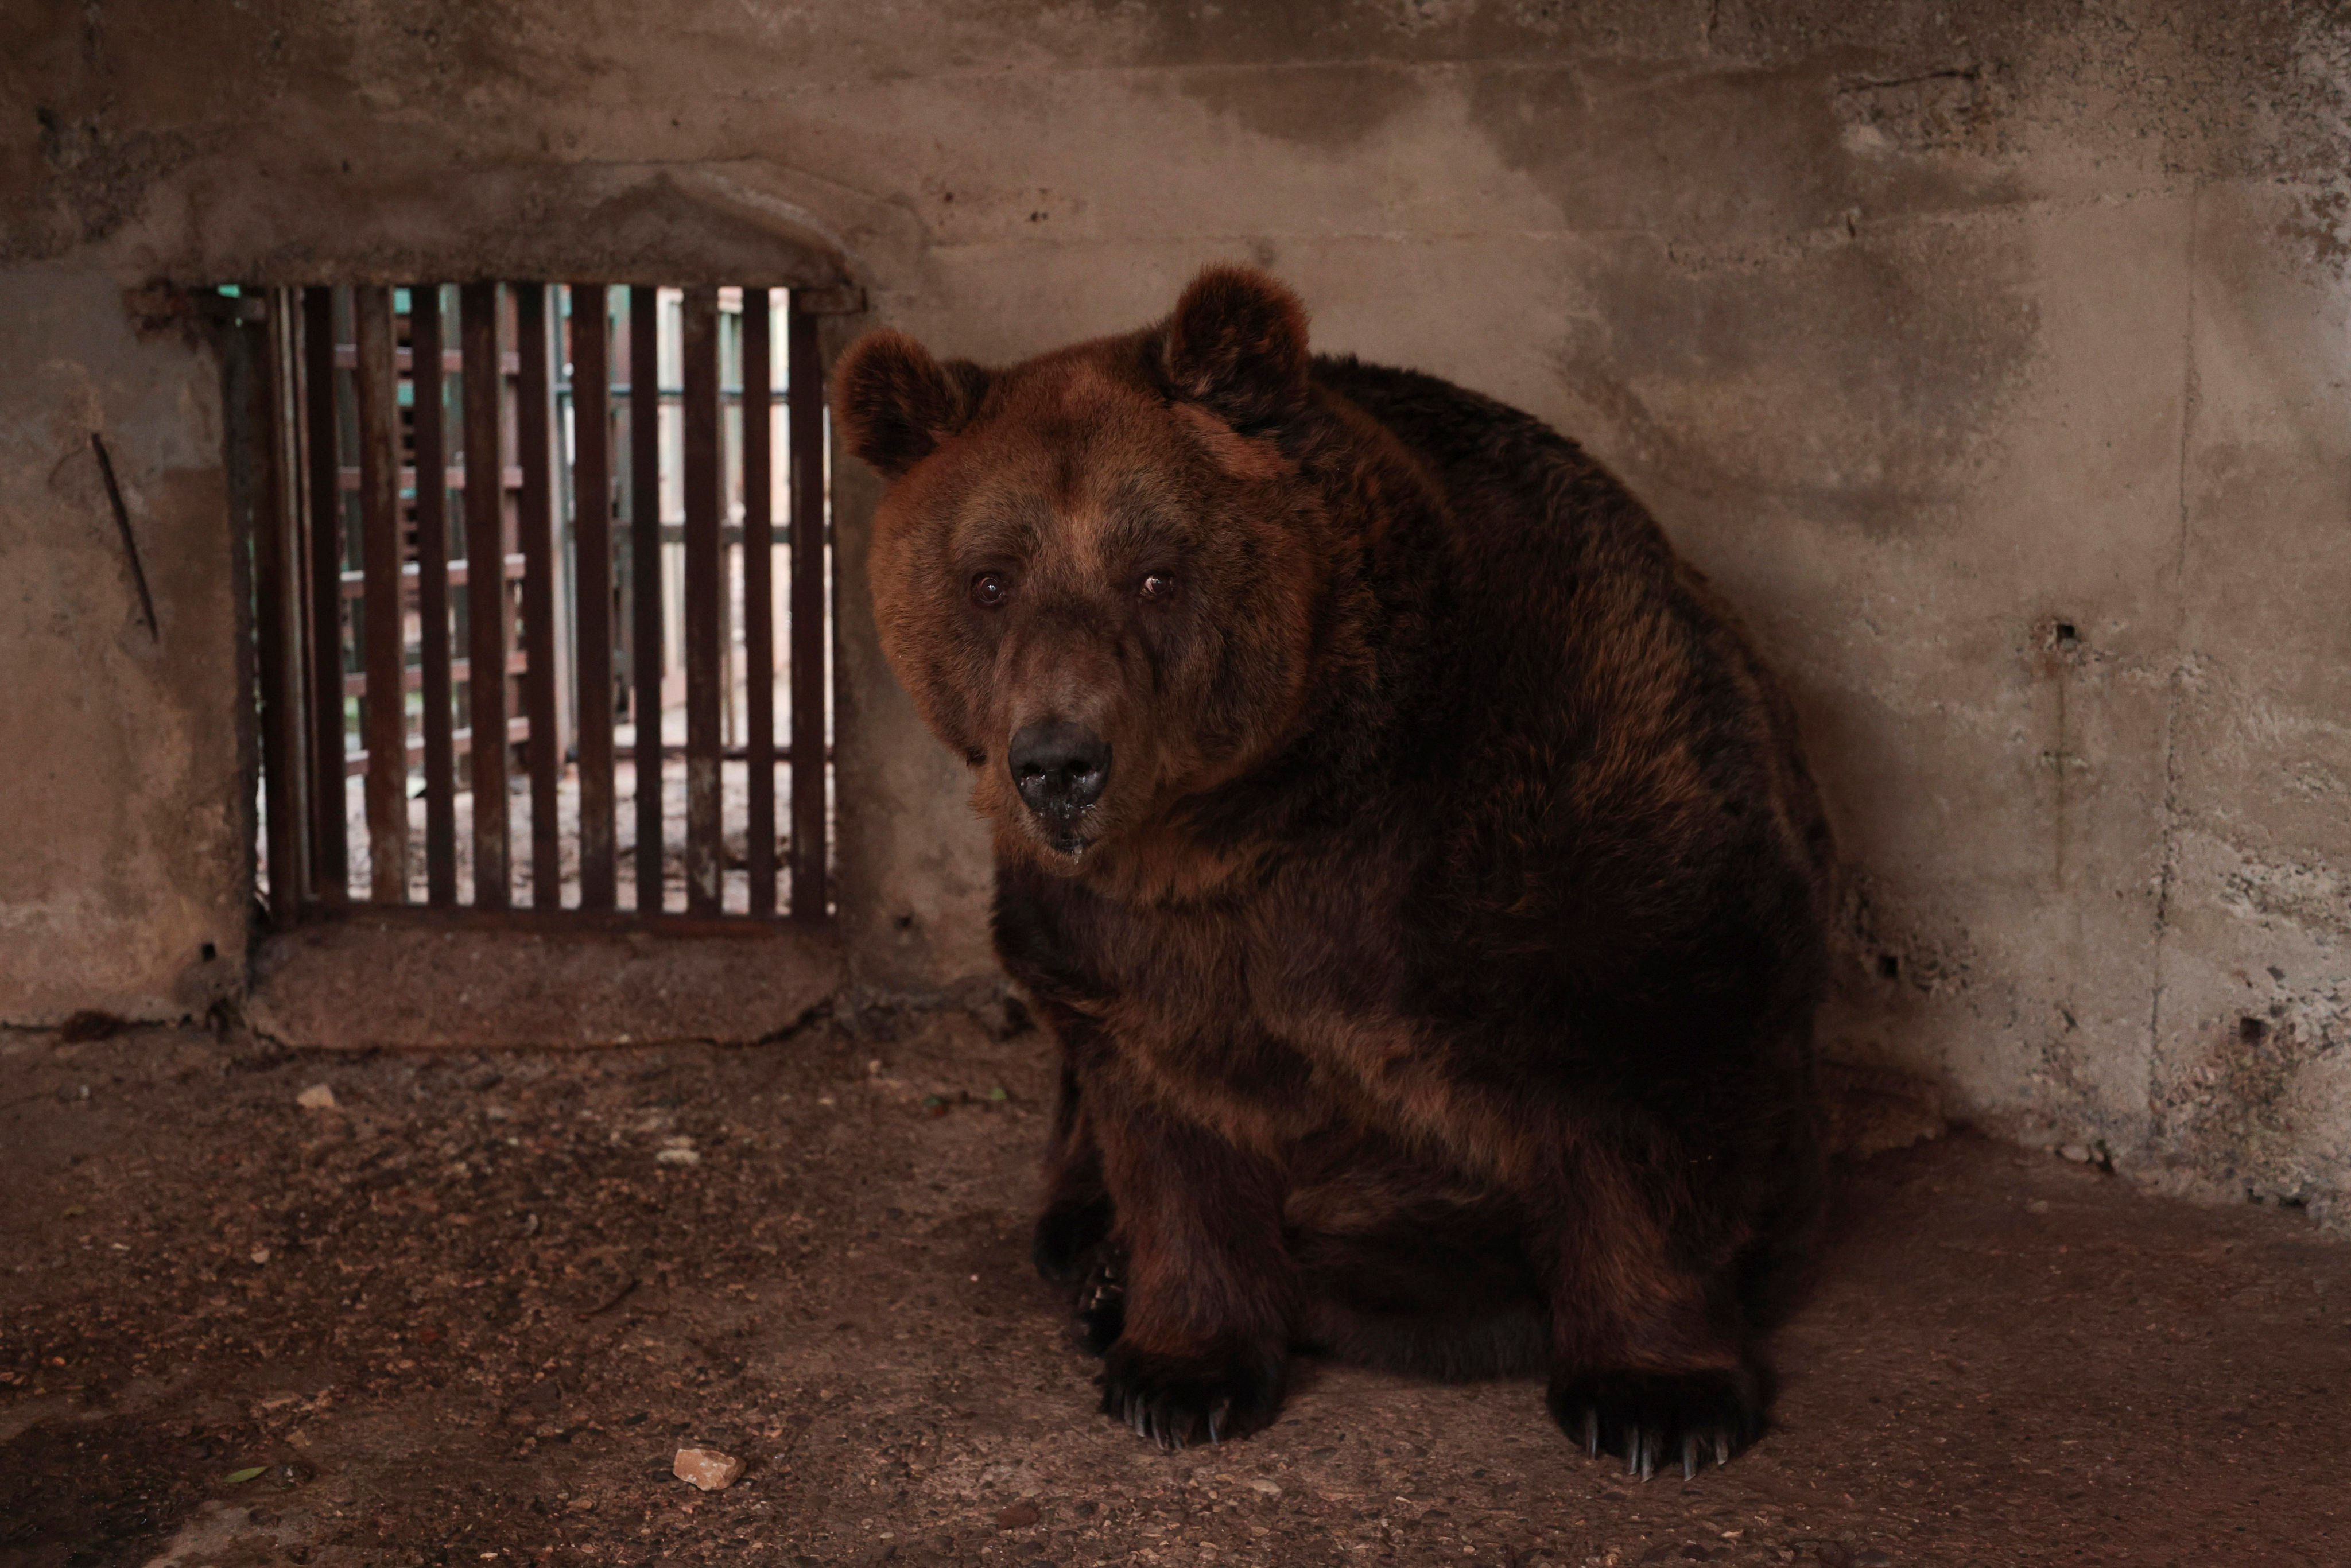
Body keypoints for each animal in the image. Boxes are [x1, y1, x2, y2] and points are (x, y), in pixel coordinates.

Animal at [832, 263, 1833, 1476]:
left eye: (1155, 574)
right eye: (987, 582)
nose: (1059, 764)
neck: (1259, 819)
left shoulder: (1557, 774)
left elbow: (1652, 1039)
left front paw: (1660, 1400)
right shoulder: (1121, 938)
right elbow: (1175, 1126)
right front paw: (1179, 1370)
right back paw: (1097, 1265)